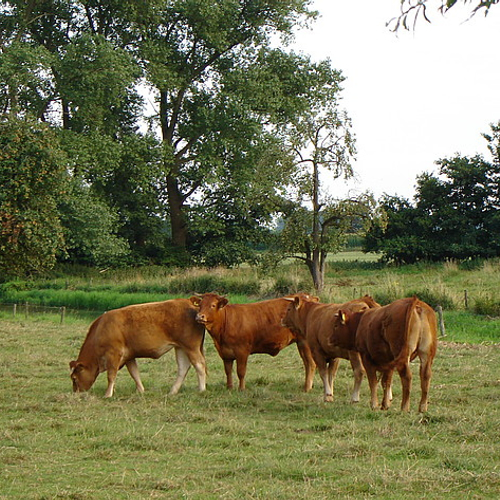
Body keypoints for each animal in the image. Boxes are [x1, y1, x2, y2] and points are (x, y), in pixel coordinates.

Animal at [68, 296, 205, 398]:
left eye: (74, 378)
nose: (75, 393)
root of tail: (188, 301)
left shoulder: (113, 354)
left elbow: (111, 375)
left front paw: (108, 394)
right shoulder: (129, 356)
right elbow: (134, 373)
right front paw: (140, 390)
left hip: (191, 347)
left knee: (199, 365)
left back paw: (201, 389)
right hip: (180, 347)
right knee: (183, 367)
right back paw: (173, 391)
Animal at [189, 292, 318, 394]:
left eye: (213, 305)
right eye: (200, 305)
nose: (199, 316)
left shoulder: (242, 351)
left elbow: (241, 371)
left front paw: (241, 389)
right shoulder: (225, 354)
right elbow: (228, 371)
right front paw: (229, 388)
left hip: (304, 342)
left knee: (311, 364)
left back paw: (307, 388)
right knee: (307, 364)